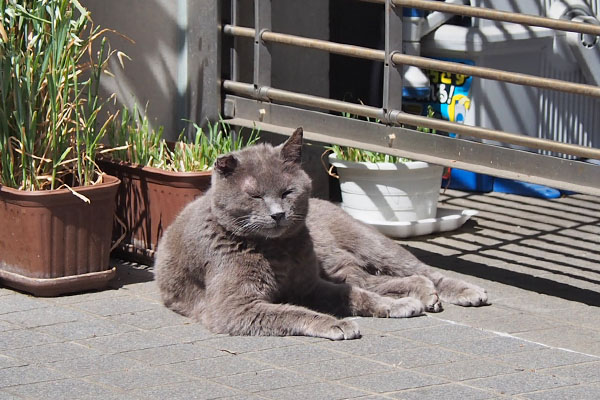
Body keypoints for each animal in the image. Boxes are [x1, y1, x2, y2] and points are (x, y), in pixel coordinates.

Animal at [155, 128, 488, 340]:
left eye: (287, 192)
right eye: (255, 196)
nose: (278, 214)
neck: (278, 253)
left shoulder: (309, 284)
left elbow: (353, 296)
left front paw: (393, 307)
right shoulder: (234, 307)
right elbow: (291, 311)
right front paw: (338, 324)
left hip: (371, 244)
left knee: (419, 270)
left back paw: (464, 292)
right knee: (379, 280)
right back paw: (422, 295)